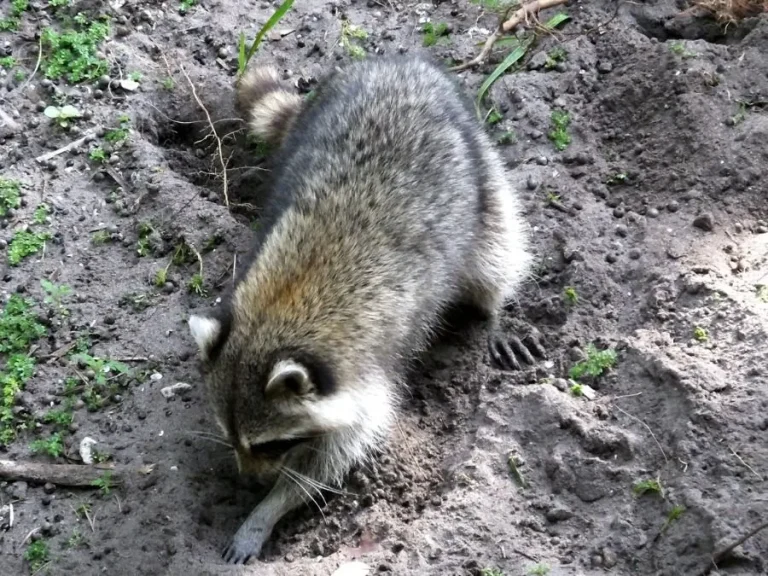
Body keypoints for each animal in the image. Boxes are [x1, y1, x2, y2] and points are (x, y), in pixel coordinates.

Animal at [188, 55, 544, 564]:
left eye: (273, 443)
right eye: (231, 435)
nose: (249, 481)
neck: (279, 311)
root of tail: (399, 63)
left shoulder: (366, 378)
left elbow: (332, 459)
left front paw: (269, 509)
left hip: (482, 171)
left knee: (495, 254)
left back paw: (494, 309)